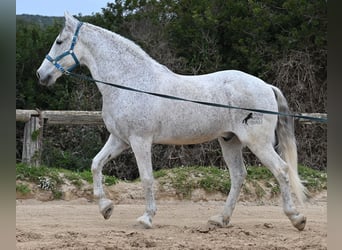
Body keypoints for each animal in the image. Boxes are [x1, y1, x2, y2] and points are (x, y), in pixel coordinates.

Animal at [36, 12, 308, 230]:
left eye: (59, 41)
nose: (41, 75)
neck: (130, 82)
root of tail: (266, 86)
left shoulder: (140, 141)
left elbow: (147, 178)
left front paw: (146, 218)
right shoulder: (119, 140)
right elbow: (96, 164)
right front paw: (106, 208)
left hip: (257, 142)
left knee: (281, 170)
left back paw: (296, 218)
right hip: (229, 141)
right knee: (239, 176)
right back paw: (220, 219)